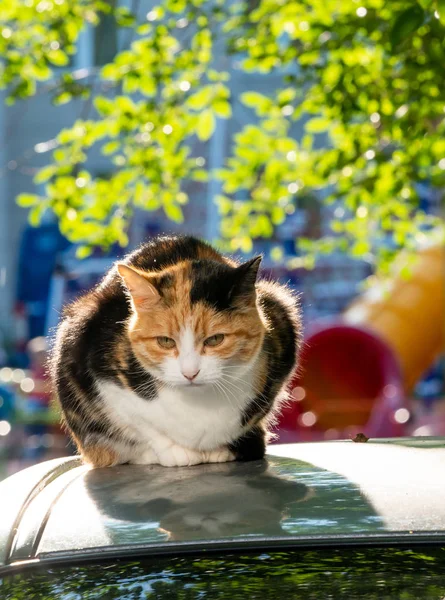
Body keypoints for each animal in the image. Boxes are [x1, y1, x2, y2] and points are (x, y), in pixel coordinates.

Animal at [52, 236, 302, 468]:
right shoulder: (101, 377)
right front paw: (173, 452)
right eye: (165, 341)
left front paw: (220, 449)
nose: (190, 373)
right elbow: (142, 423)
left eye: (215, 339)